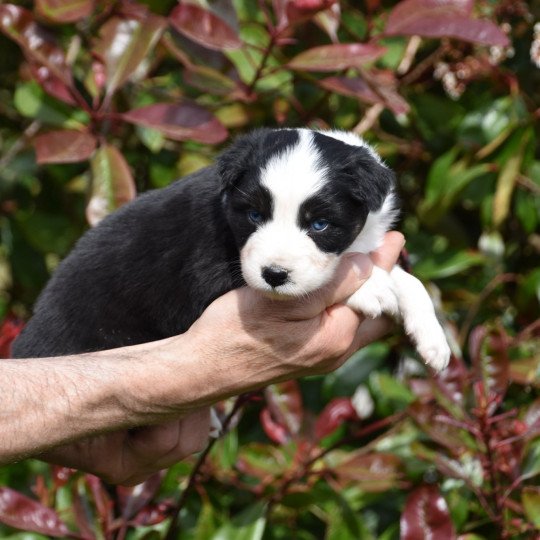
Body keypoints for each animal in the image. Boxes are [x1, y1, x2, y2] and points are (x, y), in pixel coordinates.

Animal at [12, 127, 452, 372]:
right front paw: (372, 287)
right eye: (254, 215)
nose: (275, 276)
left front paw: (434, 341)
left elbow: (408, 280)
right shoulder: (208, 272)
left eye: (320, 224)